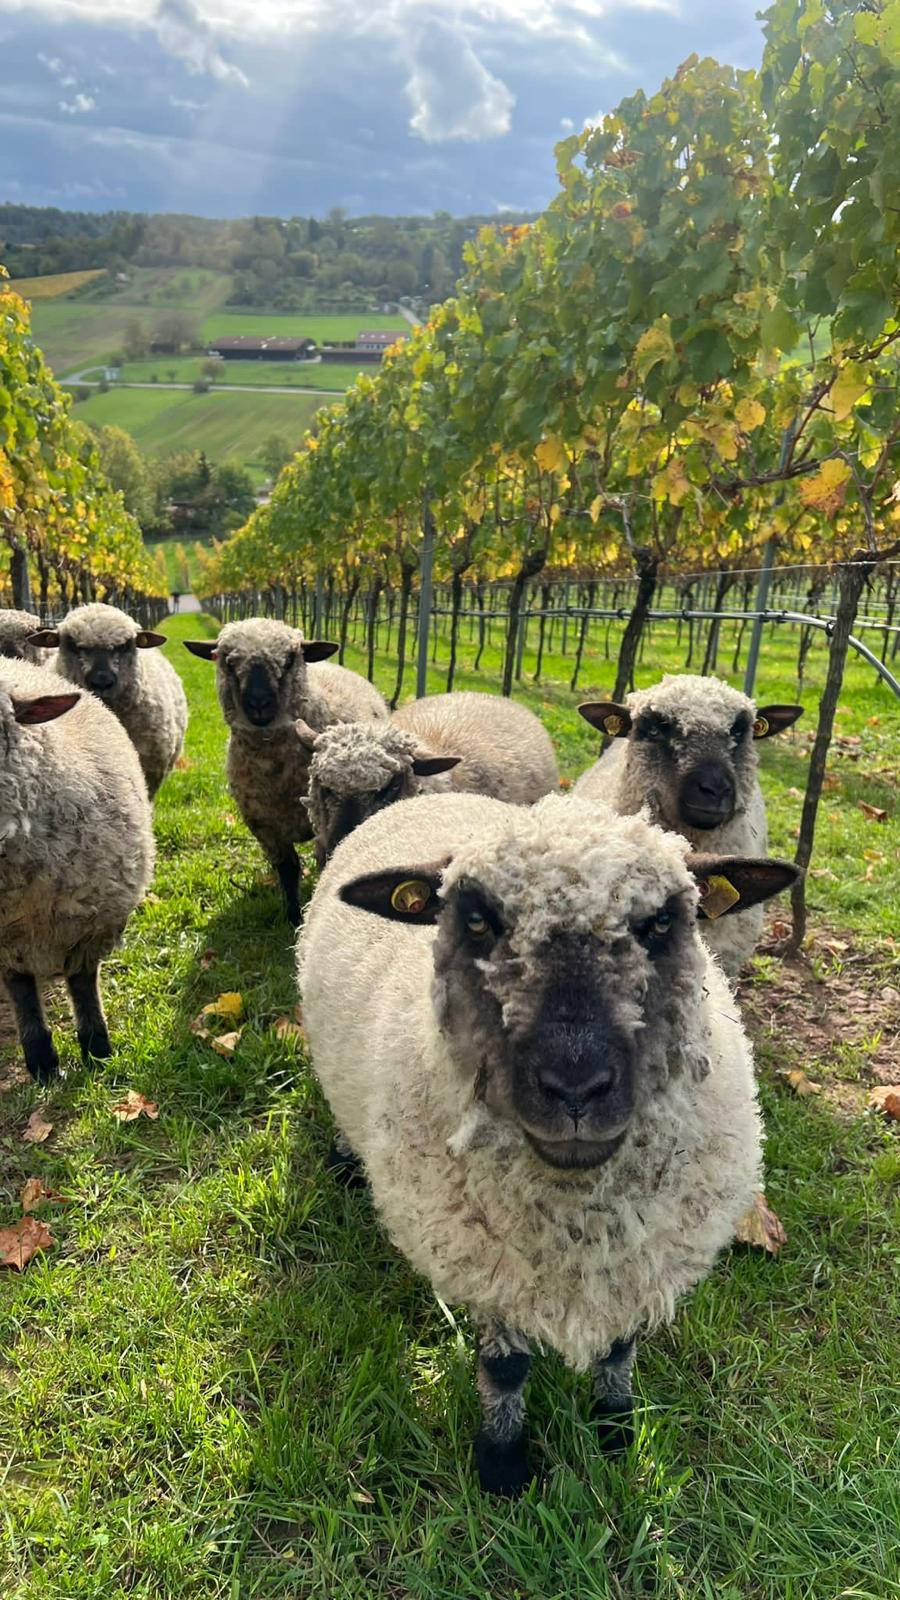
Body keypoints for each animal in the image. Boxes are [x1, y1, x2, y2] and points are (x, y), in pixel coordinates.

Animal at [0, 658, 154, 1083]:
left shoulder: (91, 920)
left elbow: (83, 984)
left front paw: (97, 1049)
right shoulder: (6, 943)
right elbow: (20, 989)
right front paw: (41, 1060)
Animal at [184, 618, 388, 924]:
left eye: (290, 659)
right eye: (228, 662)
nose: (259, 704)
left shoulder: (323, 823)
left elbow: (324, 864)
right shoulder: (263, 825)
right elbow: (288, 869)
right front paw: (292, 915)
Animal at [298, 788, 798, 1494]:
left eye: (660, 923)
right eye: (478, 921)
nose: (576, 1087)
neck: (579, 1216)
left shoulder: (637, 1258)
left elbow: (620, 1345)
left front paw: (614, 1431)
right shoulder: (487, 1260)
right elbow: (506, 1369)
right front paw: (504, 1465)